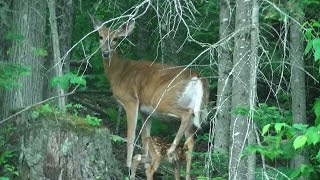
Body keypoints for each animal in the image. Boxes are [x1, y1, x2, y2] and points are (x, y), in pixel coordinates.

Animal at [91, 16, 209, 179]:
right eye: (100, 36)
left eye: (115, 39)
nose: (106, 53)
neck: (119, 74)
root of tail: (198, 78)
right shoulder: (145, 112)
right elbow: (145, 137)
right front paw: (145, 163)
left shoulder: (131, 101)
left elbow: (131, 136)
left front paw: (128, 167)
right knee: (190, 141)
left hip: (163, 100)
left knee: (186, 114)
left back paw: (171, 150)